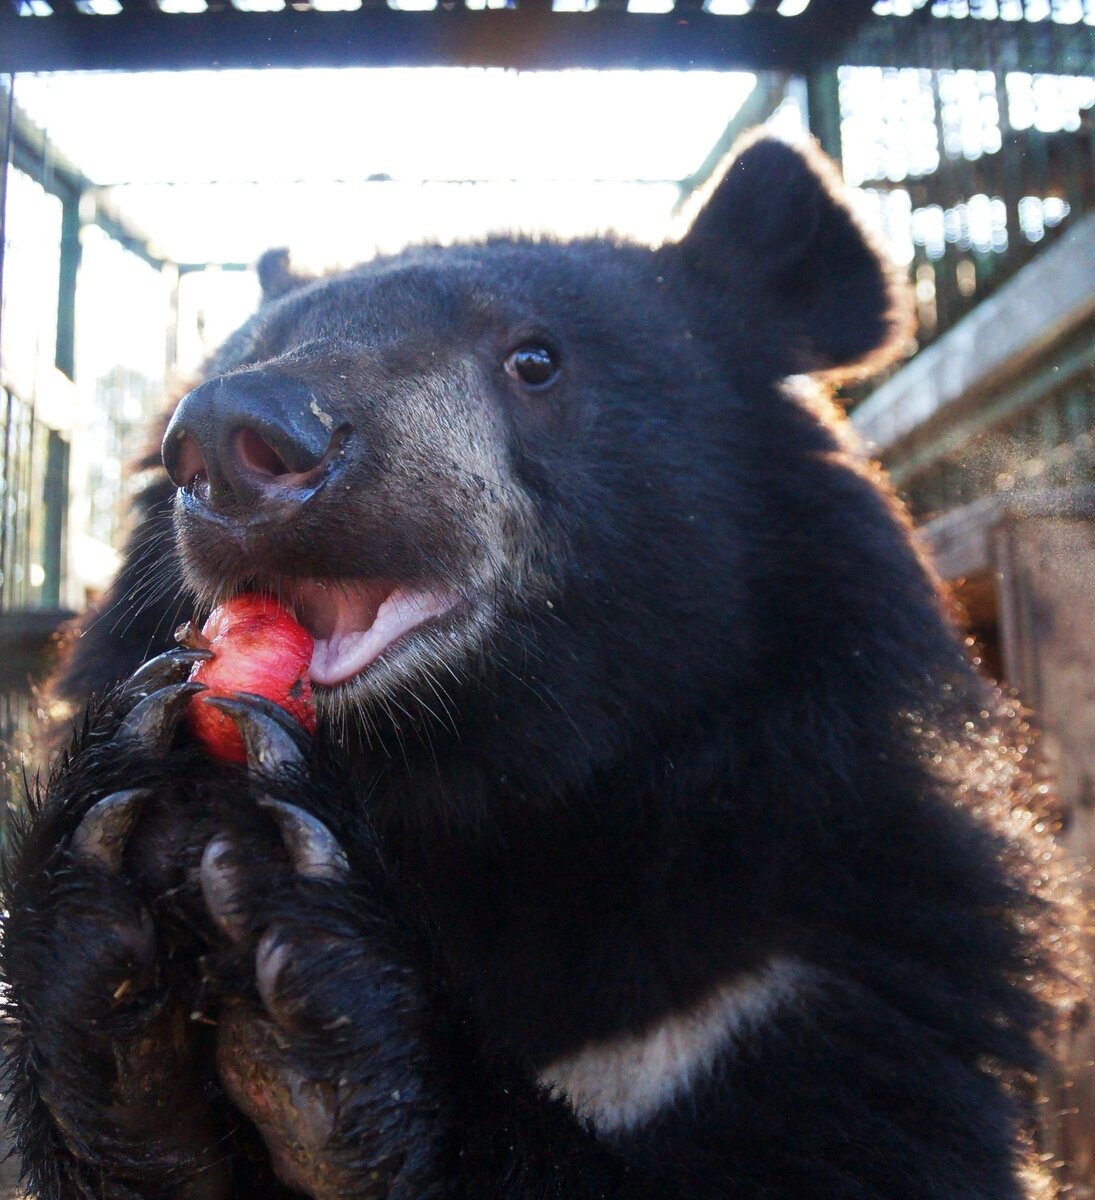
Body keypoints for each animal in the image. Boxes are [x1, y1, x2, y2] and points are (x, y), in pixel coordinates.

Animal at [0, 136, 1075, 1200]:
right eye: (248, 354)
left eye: (535, 361)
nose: (232, 437)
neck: (500, 798)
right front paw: (110, 891)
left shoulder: (813, 974)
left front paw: (315, 954)